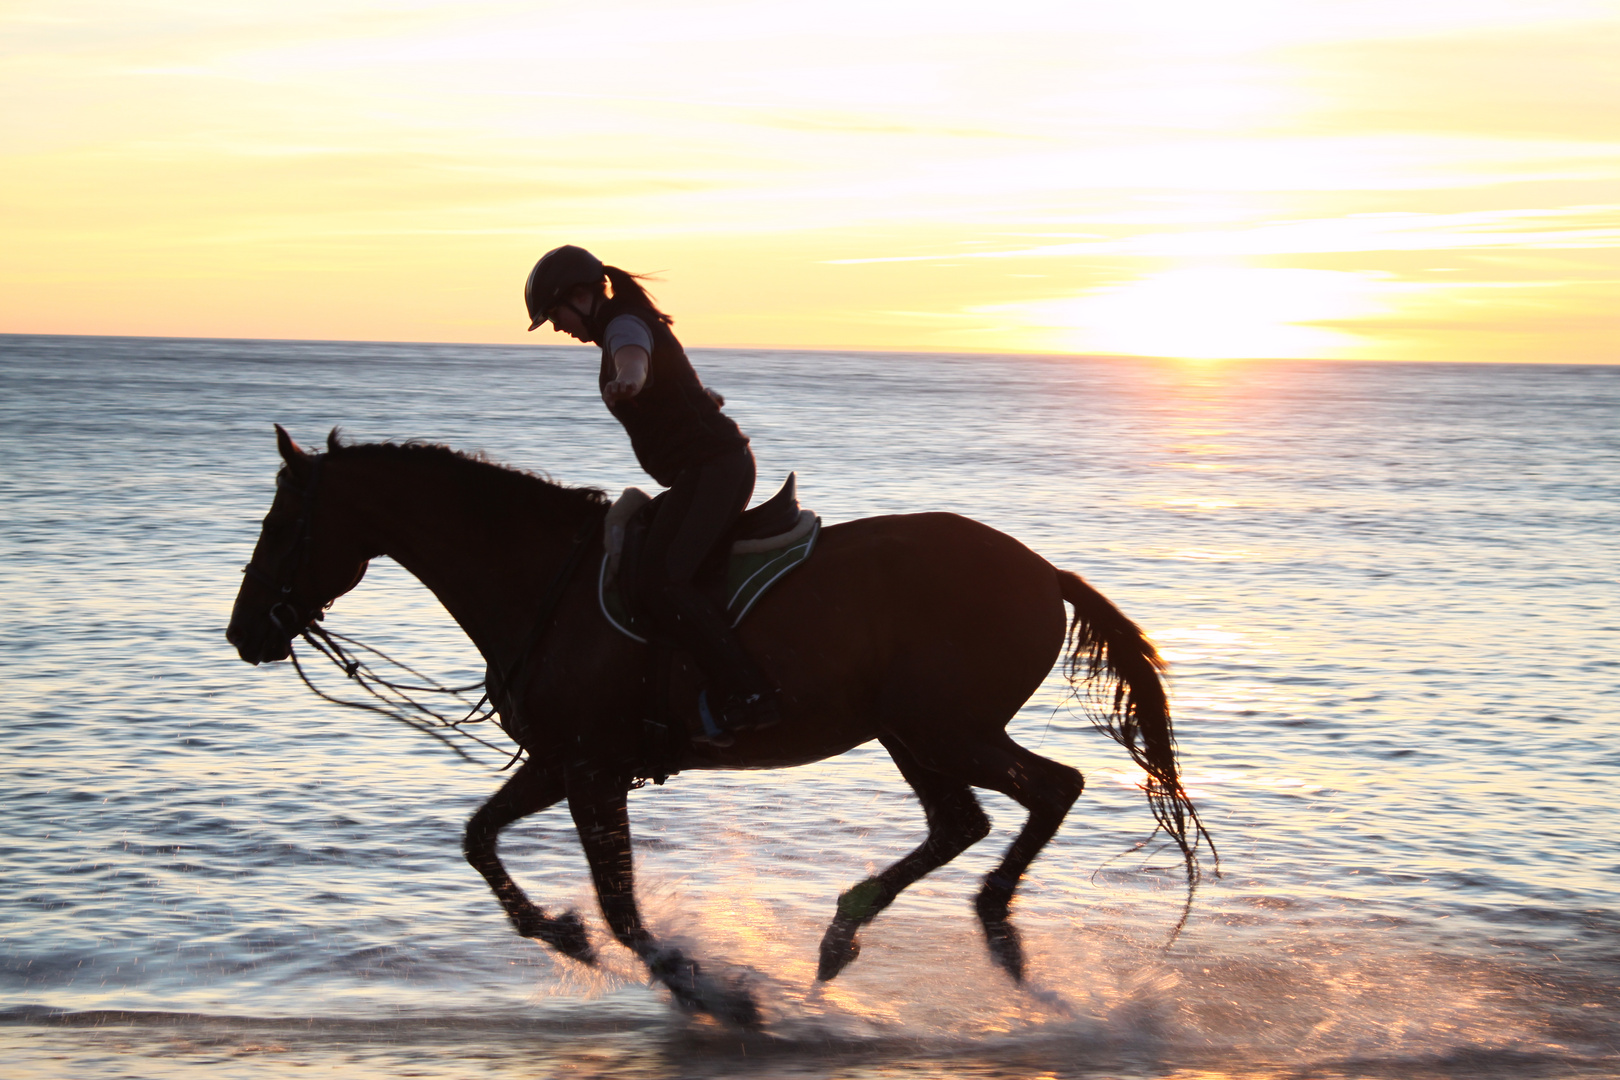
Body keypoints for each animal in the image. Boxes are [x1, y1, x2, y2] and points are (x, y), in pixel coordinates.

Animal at [231, 427, 1218, 1029]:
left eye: (280, 522)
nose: (243, 632)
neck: (543, 578)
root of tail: (1044, 571)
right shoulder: (562, 761)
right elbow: (480, 842)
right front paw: (563, 935)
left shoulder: (590, 770)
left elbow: (622, 906)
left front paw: (711, 995)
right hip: (912, 733)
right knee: (963, 821)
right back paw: (853, 931)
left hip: (941, 727)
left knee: (1046, 791)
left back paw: (984, 927)